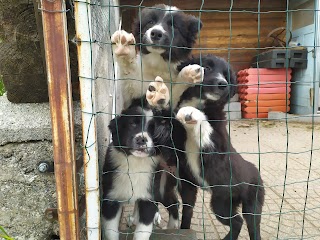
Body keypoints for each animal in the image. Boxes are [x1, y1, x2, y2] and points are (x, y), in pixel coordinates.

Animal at [101, 98, 186, 240]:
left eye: (154, 130)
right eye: (132, 124)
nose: (142, 139)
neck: (135, 162)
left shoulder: (149, 197)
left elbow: (142, 231)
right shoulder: (111, 198)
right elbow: (110, 231)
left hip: (162, 187)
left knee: (174, 203)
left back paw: (171, 227)